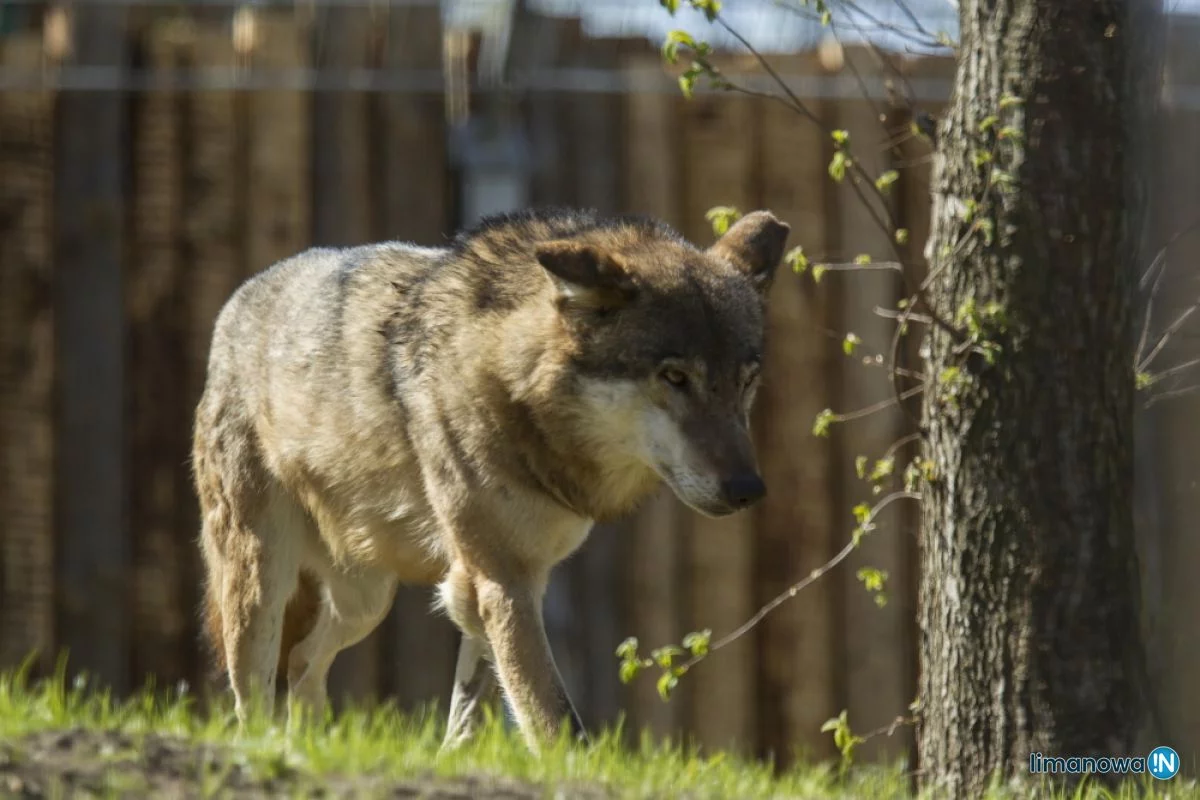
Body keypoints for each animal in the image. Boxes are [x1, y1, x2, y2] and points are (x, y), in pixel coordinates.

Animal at [193, 205, 792, 753]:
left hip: (366, 599)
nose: (749, 490)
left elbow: (474, 709)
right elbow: (553, 718)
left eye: (745, 381)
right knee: (253, 692)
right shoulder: (503, 578)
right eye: (674, 376)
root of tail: (237, 302)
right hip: (261, 577)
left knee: (301, 664)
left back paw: (308, 746)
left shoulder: (491, 580)